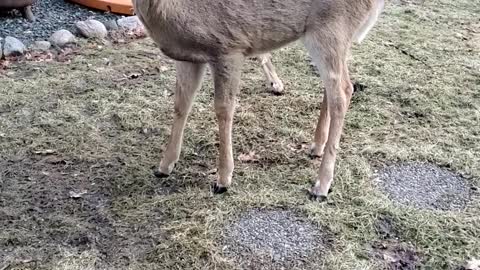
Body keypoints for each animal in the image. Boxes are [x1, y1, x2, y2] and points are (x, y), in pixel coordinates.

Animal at [132, 0, 386, 200]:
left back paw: (321, 186)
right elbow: (181, 105)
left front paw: (223, 179)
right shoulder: (189, 57)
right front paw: (164, 166)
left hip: (331, 28)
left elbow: (223, 109)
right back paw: (316, 147)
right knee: (335, 87)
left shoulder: (229, 47)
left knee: (343, 91)